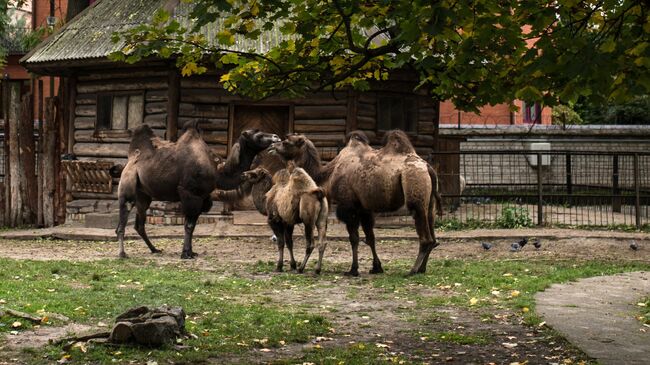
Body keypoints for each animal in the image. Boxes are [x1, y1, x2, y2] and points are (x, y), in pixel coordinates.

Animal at [115, 122, 278, 258]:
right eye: (257, 133)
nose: (276, 137)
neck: (217, 172)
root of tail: (129, 160)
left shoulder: (202, 198)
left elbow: (192, 227)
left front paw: (191, 251)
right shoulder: (190, 194)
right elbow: (188, 226)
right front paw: (186, 254)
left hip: (143, 195)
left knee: (139, 224)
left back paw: (154, 249)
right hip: (127, 186)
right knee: (123, 219)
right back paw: (122, 254)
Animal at [268, 129, 440, 274]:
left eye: (287, 141)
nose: (272, 146)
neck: (328, 174)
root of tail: (428, 168)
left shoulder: (348, 206)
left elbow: (354, 238)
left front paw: (353, 269)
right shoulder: (364, 208)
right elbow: (370, 238)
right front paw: (376, 267)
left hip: (415, 188)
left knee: (425, 237)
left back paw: (412, 270)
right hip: (429, 201)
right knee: (433, 236)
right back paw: (422, 269)